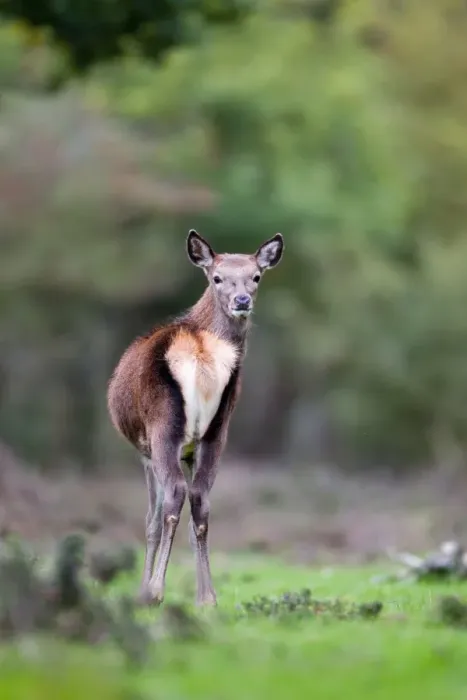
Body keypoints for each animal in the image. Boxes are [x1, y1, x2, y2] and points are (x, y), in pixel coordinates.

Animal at [107, 230, 284, 606]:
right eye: (217, 277)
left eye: (256, 276)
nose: (242, 300)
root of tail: (201, 353)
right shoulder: (195, 445)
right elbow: (192, 519)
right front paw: (203, 593)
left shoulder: (145, 452)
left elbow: (151, 521)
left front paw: (143, 588)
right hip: (217, 430)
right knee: (201, 501)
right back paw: (208, 598)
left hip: (164, 427)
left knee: (174, 497)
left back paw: (156, 591)